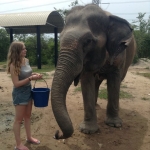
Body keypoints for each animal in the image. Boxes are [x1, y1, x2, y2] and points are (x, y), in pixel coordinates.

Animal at [51, 3, 137, 139]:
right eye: (60, 39)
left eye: (88, 41)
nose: (57, 134)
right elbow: (87, 81)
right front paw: (88, 131)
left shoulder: (119, 54)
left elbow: (115, 80)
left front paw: (114, 125)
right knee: (96, 82)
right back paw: (96, 106)